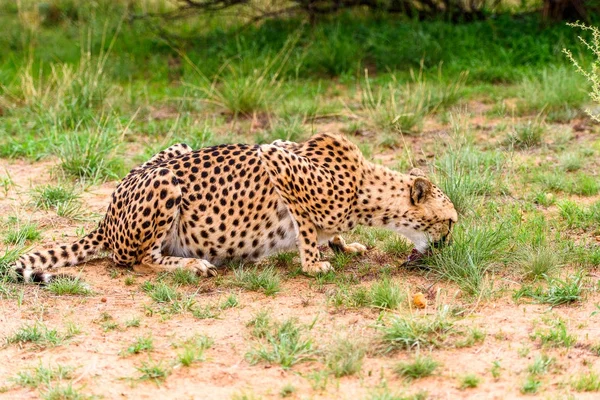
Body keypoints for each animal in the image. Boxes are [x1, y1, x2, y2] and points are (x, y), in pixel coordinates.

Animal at [11, 133, 458, 282]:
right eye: (450, 222)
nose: (449, 245)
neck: (366, 187)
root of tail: (106, 218)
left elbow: (328, 233)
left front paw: (343, 245)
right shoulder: (276, 157)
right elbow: (306, 227)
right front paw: (314, 263)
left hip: (178, 147)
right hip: (166, 182)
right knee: (135, 260)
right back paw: (192, 265)